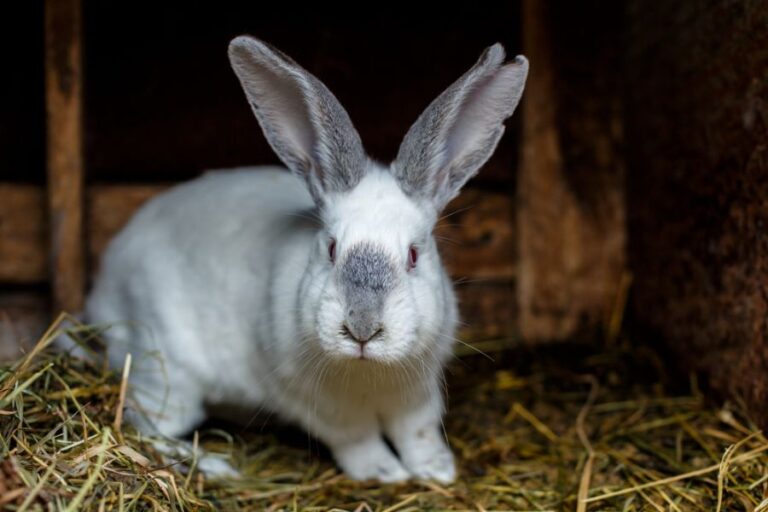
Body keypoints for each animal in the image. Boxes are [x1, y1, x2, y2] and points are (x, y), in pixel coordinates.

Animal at [83, 36, 528, 483]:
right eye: (331, 249)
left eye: (414, 255)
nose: (362, 329)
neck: (368, 373)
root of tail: (102, 286)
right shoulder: (320, 406)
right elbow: (357, 440)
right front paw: (384, 473)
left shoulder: (417, 395)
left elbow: (417, 432)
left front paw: (437, 471)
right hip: (166, 368)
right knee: (144, 423)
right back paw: (215, 465)